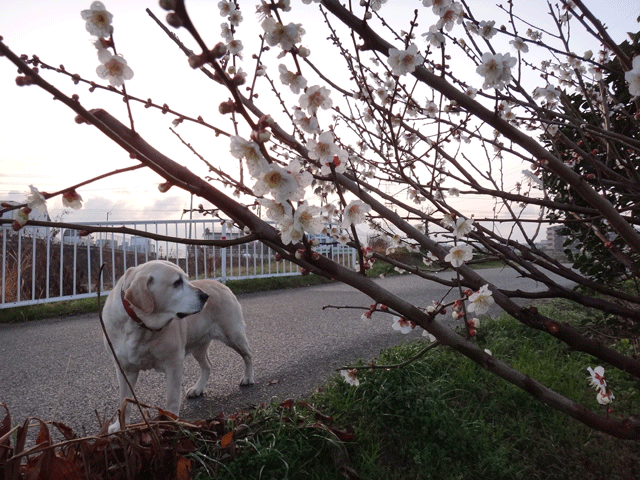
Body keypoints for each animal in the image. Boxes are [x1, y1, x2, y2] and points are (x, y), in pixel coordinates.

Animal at [101, 260, 254, 434]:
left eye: (187, 279)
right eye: (177, 282)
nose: (205, 296)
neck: (139, 324)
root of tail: (221, 285)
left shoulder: (173, 363)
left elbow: (172, 398)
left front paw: (170, 423)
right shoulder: (125, 369)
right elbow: (124, 401)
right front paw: (120, 426)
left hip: (233, 335)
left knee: (248, 355)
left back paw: (248, 377)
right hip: (198, 346)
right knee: (207, 365)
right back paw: (198, 388)